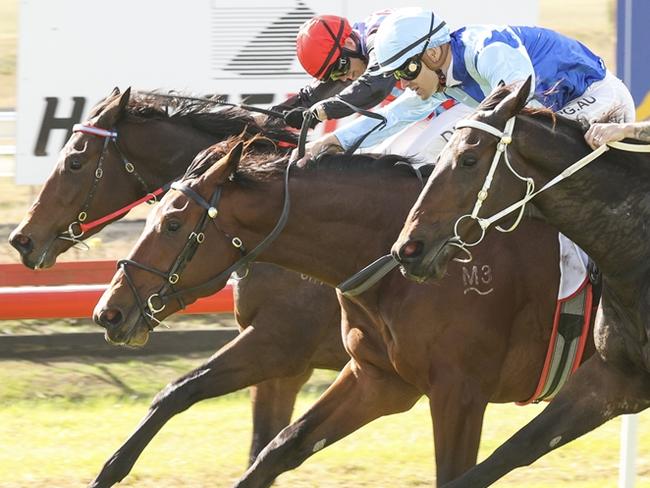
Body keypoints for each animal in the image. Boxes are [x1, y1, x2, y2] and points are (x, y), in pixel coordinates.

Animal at [6, 87, 350, 466]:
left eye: (74, 163)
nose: (22, 239)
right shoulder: (284, 369)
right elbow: (260, 445)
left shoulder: (278, 345)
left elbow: (179, 392)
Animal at [92, 138, 592, 488]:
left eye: (173, 224)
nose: (108, 312)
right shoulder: (378, 379)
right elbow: (273, 447)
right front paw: (108, 470)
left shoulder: (458, 391)